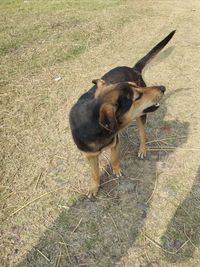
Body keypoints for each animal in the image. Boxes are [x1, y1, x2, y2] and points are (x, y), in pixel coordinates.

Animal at [69, 31, 176, 199]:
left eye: (137, 88)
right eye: (137, 97)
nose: (163, 88)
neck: (95, 126)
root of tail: (133, 68)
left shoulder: (114, 143)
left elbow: (114, 158)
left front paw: (117, 170)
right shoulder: (89, 155)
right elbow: (94, 173)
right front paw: (94, 187)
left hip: (140, 117)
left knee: (142, 133)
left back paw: (142, 149)